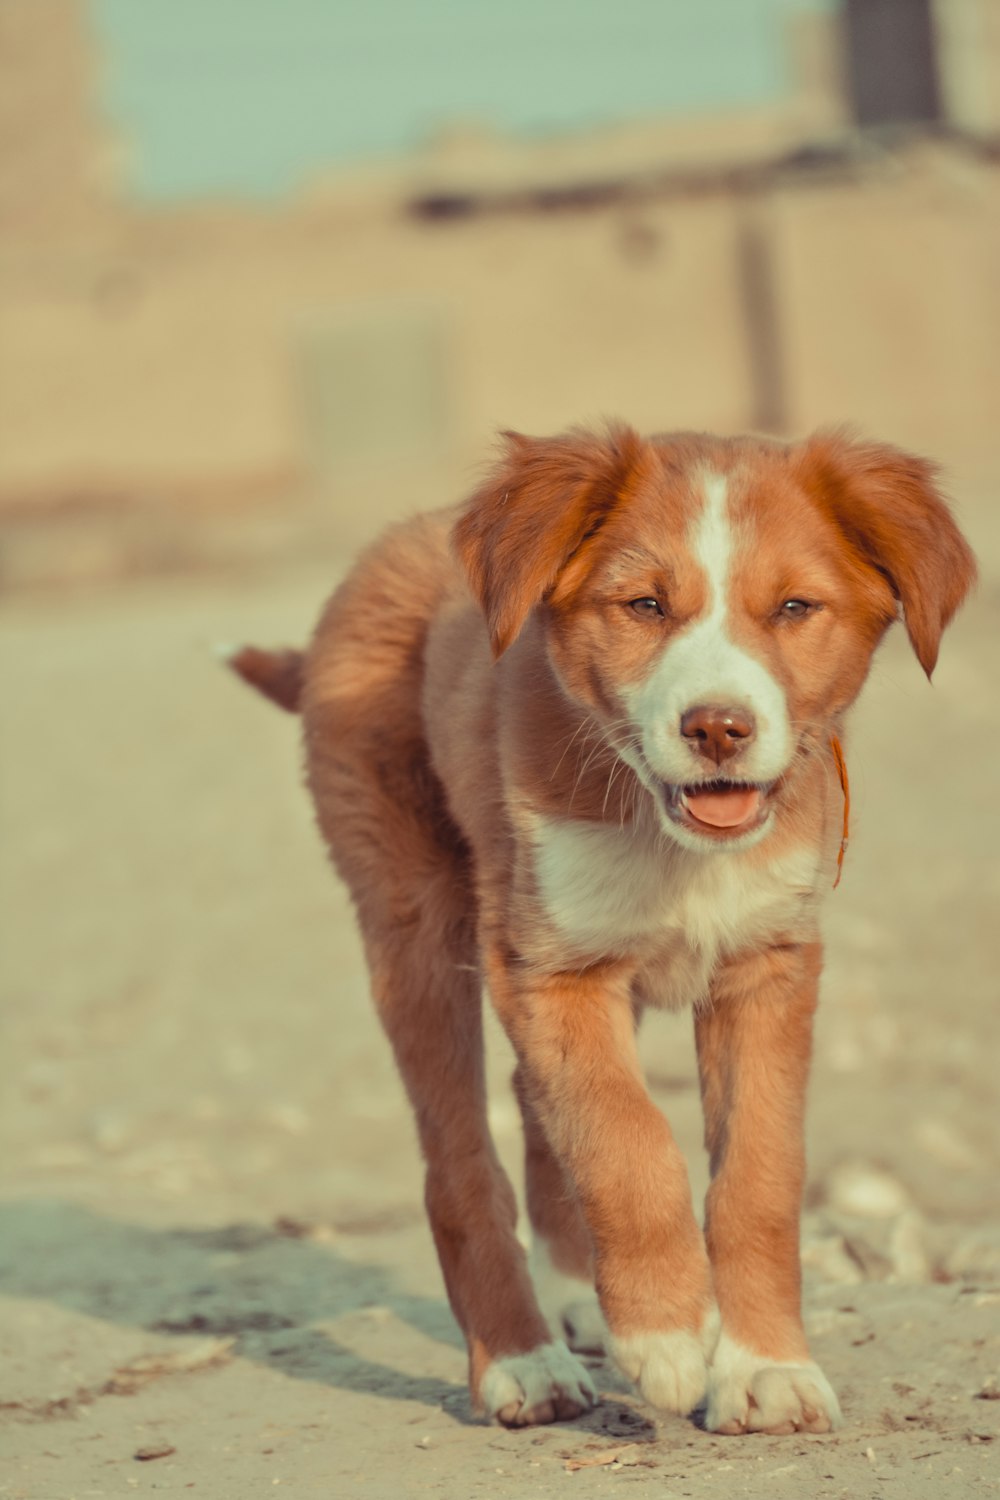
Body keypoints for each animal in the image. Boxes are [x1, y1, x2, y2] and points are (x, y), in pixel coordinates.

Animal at [229, 429, 977, 1434]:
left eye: (794, 607)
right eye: (645, 605)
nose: (718, 728)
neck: (672, 837)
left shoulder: (765, 963)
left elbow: (759, 1174)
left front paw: (765, 1367)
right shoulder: (548, 964)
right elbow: (625, 1137)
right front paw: (665, 1332)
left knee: (533, 1101)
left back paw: (577, 1295)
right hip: (413, 924)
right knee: (460, 1164)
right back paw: (524, 1359)